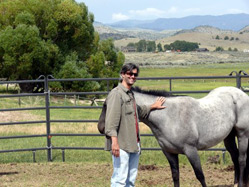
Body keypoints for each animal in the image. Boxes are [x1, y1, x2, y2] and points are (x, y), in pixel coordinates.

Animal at [98, 86, 249, 187]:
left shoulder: (191, 150)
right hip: (228, 137)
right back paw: (235, 183)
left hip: (243, 135)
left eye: (111, 105)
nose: (101, 128)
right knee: (235, 157)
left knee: (241, 160)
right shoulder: (169, 152)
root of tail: (240, 94)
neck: (168, 116)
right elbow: (175, 175)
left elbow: (200, 175)